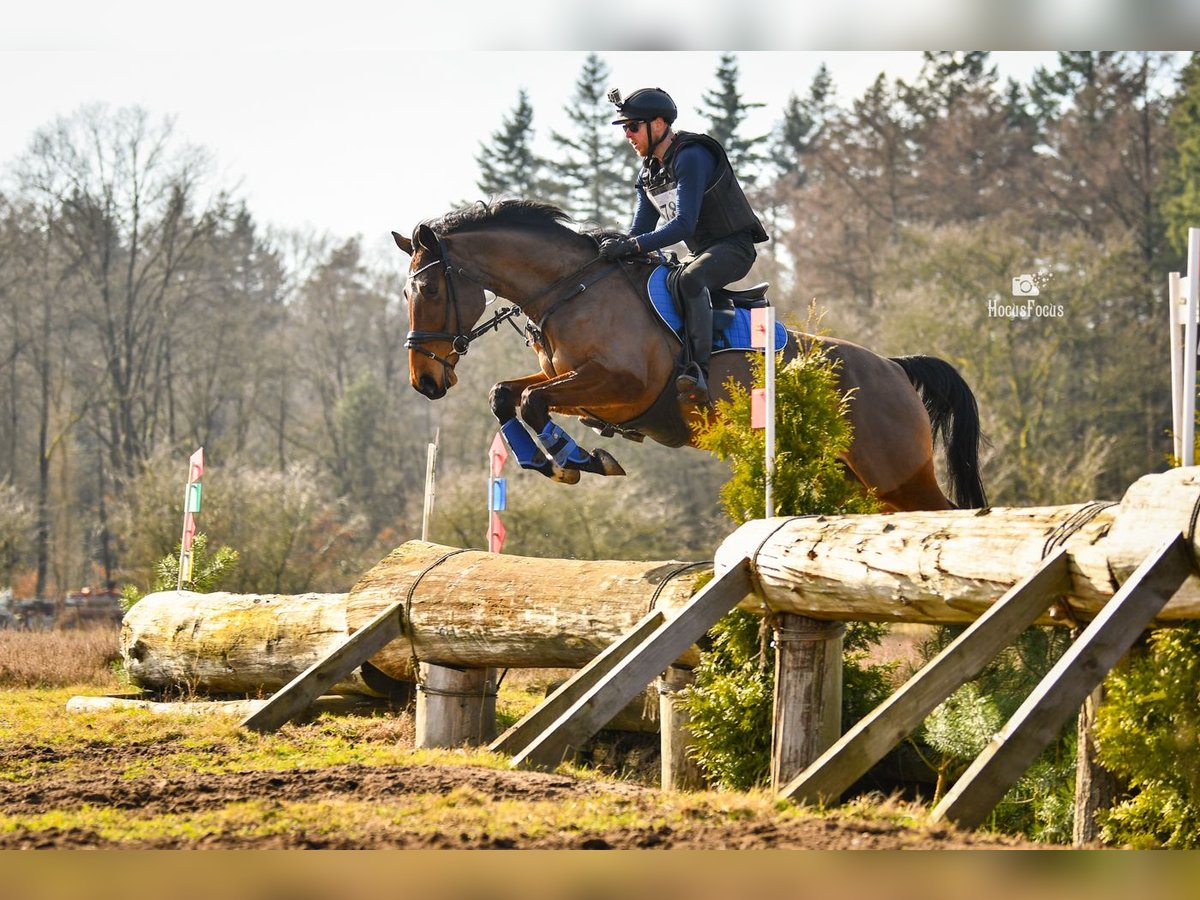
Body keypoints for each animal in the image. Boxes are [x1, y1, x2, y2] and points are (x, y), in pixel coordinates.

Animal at [393, 201, 984, 518]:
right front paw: (549, 463)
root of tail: (894, 368)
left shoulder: (620, 384)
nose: (425, 381)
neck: (572, 288)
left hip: (896, 475)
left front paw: (579, 460)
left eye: (429, 290)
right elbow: (507, 395)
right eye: (405, 293)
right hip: (861, 478)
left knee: (949, 517)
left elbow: (535, 402)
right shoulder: (574, 381)